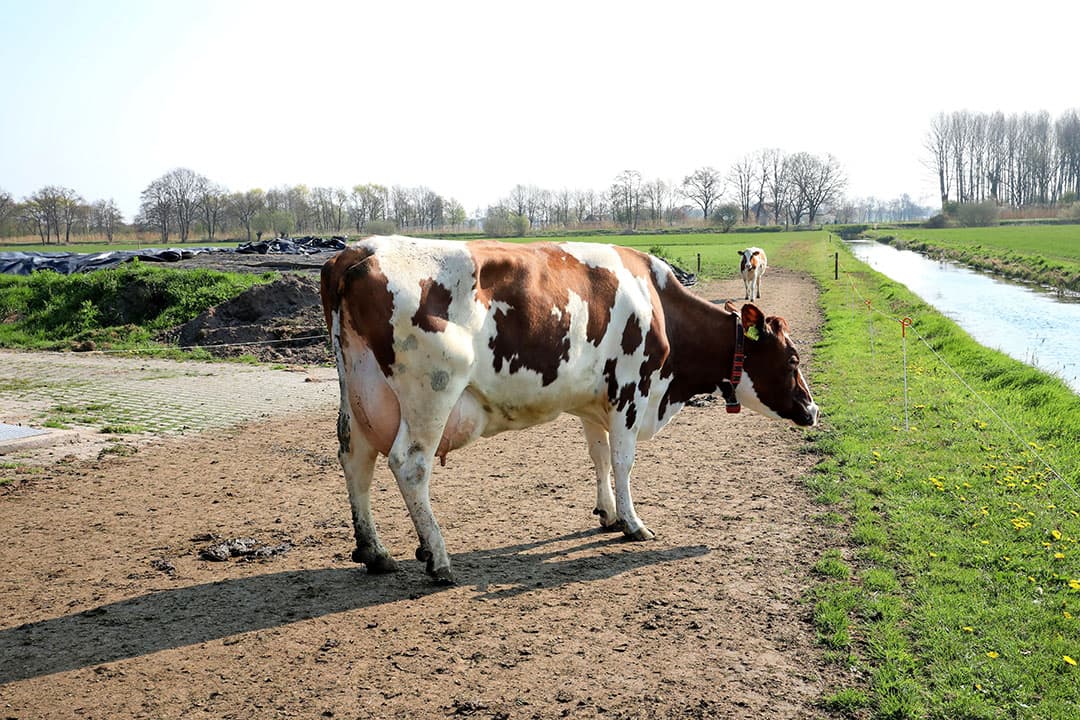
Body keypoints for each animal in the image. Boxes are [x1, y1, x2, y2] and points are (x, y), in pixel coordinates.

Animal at [320, 235, 817, 584]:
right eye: (792, 361)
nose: (813, 411)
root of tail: (358, 252)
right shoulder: (630, 392)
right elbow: (623, 460)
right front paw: (633, 523)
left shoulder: (593, 402)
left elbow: (599, 457)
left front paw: (608, 514)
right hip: (432, 392)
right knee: (409, 464)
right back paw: (438, 558)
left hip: (360, 392)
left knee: (355, 459)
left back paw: (375, 552)